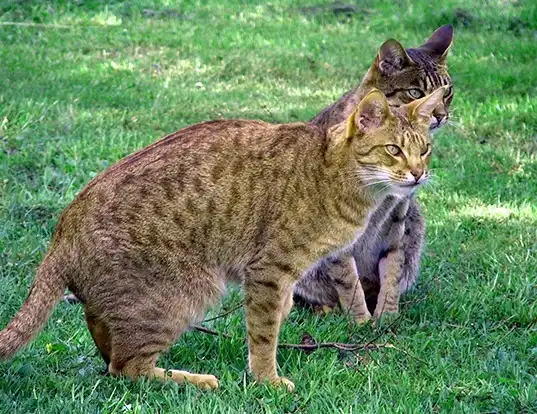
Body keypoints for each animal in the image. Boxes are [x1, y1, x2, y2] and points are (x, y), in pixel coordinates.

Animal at [296, 24, 454, 320]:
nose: (439, 115)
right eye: (416, 92)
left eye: (447, 92)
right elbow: (348, 280)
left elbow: (392, 271)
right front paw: (360, 320)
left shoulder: (398, 220)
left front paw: (387, 316)